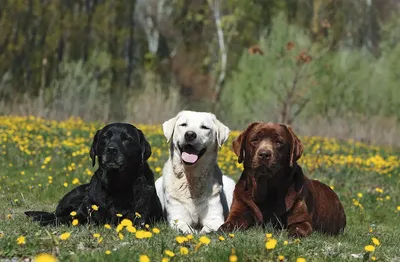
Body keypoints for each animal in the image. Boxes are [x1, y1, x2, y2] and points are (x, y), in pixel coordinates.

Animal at [25, 123, 162, 227]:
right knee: (55, 214)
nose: (111, 149)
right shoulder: (82, 213)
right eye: (105, 138)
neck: (116, 185)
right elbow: (64, 218)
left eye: (126, 138)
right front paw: (47, 222)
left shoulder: (138, 218)